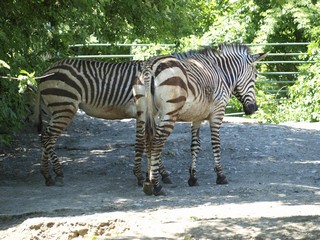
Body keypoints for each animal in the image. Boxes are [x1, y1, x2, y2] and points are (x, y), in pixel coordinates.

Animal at [133, 43, 268, 195]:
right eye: (255, 76)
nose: (254, 108)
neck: (221, 72)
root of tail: (150, 66)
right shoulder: (217, 113)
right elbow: (216, 144)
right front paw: (220, 176)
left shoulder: (196, 117)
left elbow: (195, 146)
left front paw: (193, 178)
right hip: (169, 112)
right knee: (157, 142)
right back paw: (156, 185)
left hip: (144, 112)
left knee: (147, 140)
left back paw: (148, 182)